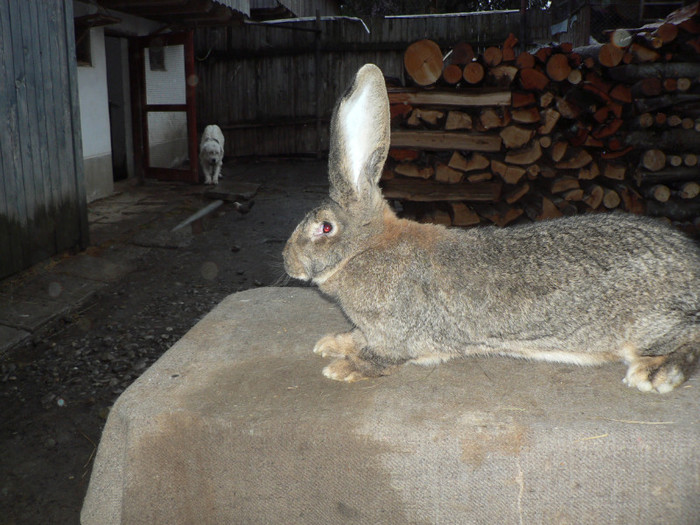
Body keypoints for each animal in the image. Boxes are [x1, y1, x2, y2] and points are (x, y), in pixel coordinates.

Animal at [282, 63, 696, 390]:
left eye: (325, 229)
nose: (288, 262)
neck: (364, 249)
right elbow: (356, 336)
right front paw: (332, 342)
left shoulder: (396, 336)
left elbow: (382, 357)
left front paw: (343, 368)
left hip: (654, 323)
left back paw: (655, 373)